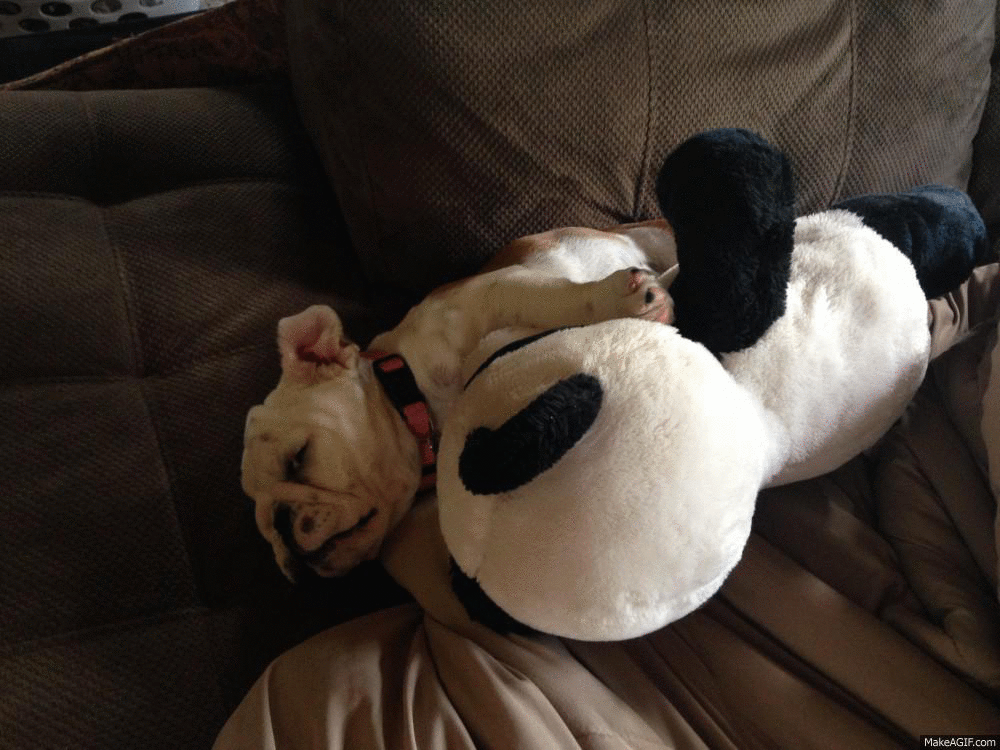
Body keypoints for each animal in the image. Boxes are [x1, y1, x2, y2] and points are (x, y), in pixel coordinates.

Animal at [241, 220, 678, 581]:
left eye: (298, 458)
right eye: (262, 527)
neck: (413, 389)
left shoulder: (497, 291)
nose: (280, 530)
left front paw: (621, 300)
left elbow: (558, 300)